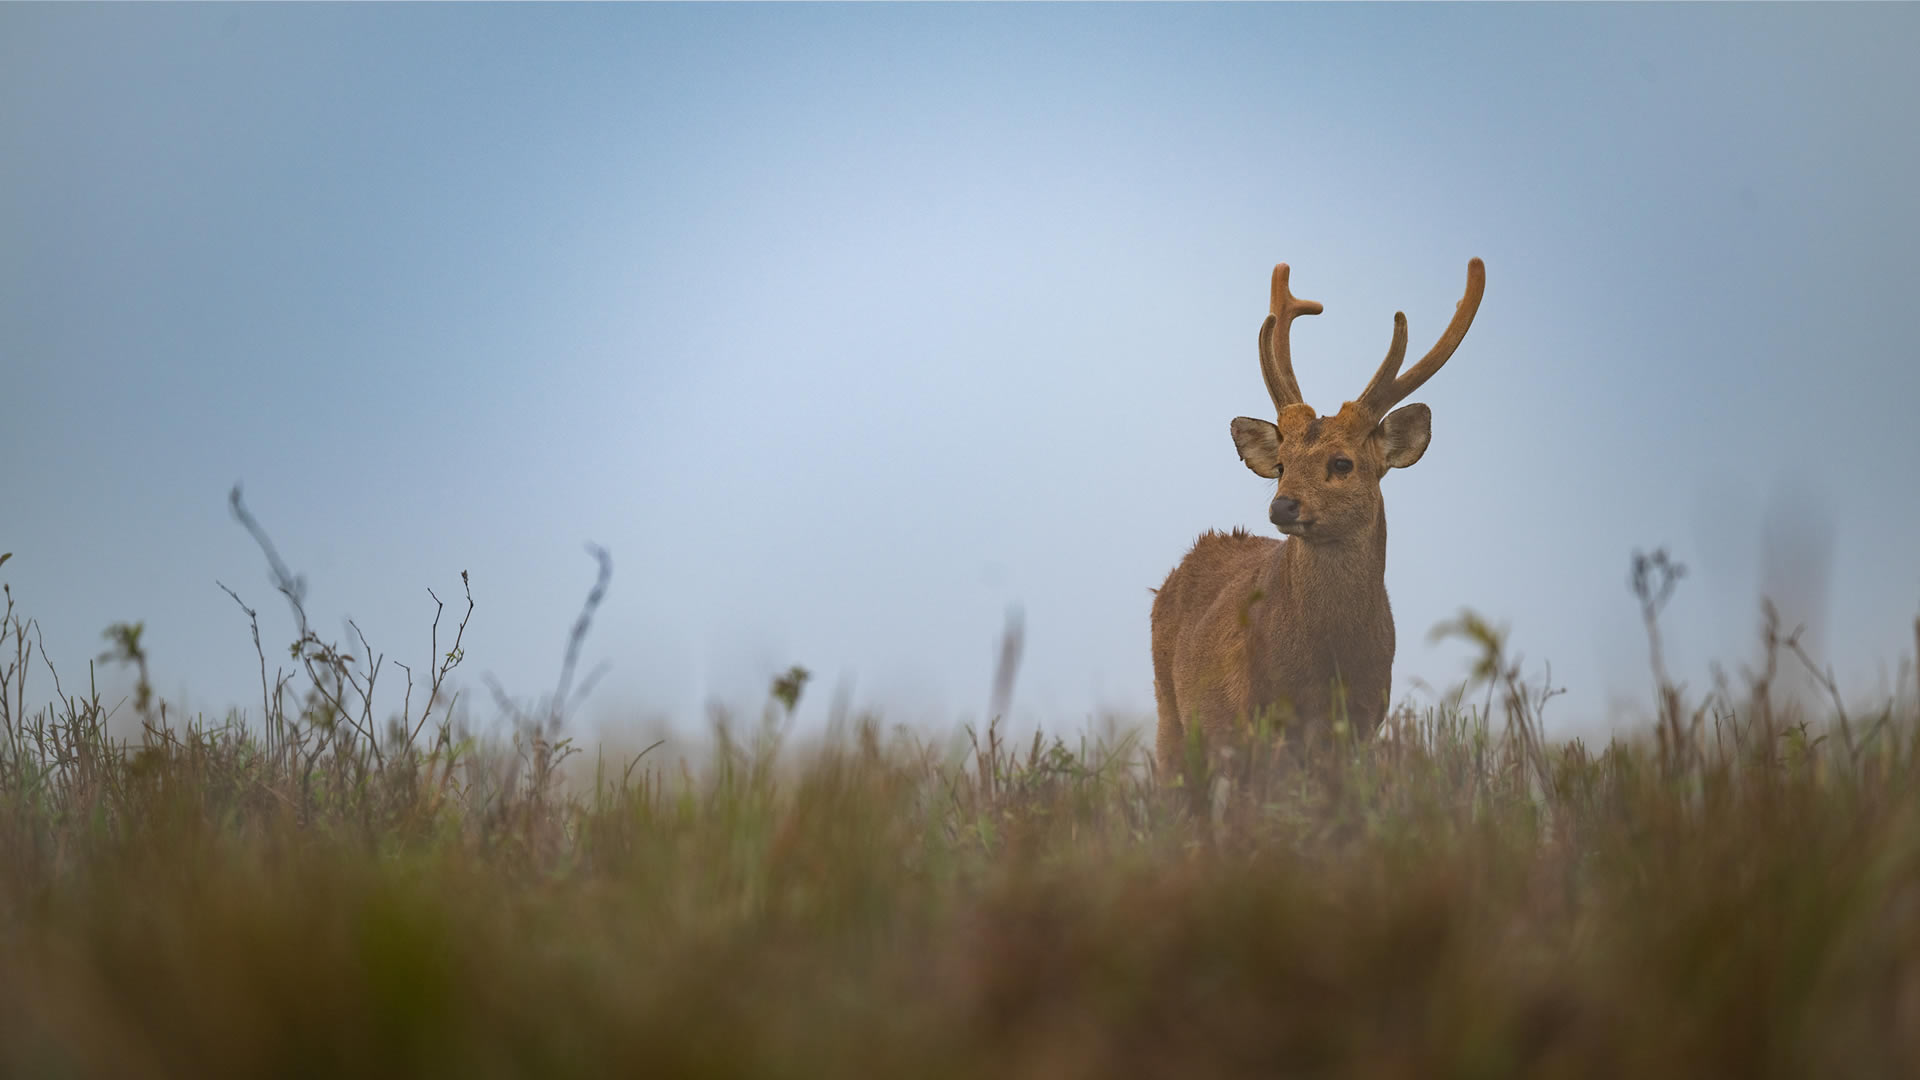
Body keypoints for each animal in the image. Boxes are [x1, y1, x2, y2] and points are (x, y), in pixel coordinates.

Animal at [1149, 258, 1486, 781]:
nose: (1282, 506)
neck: (1329, 665)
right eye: (1282, 463)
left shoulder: (1365, 721)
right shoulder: (1259, 714)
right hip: (1172, 716)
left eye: (1342, 463)